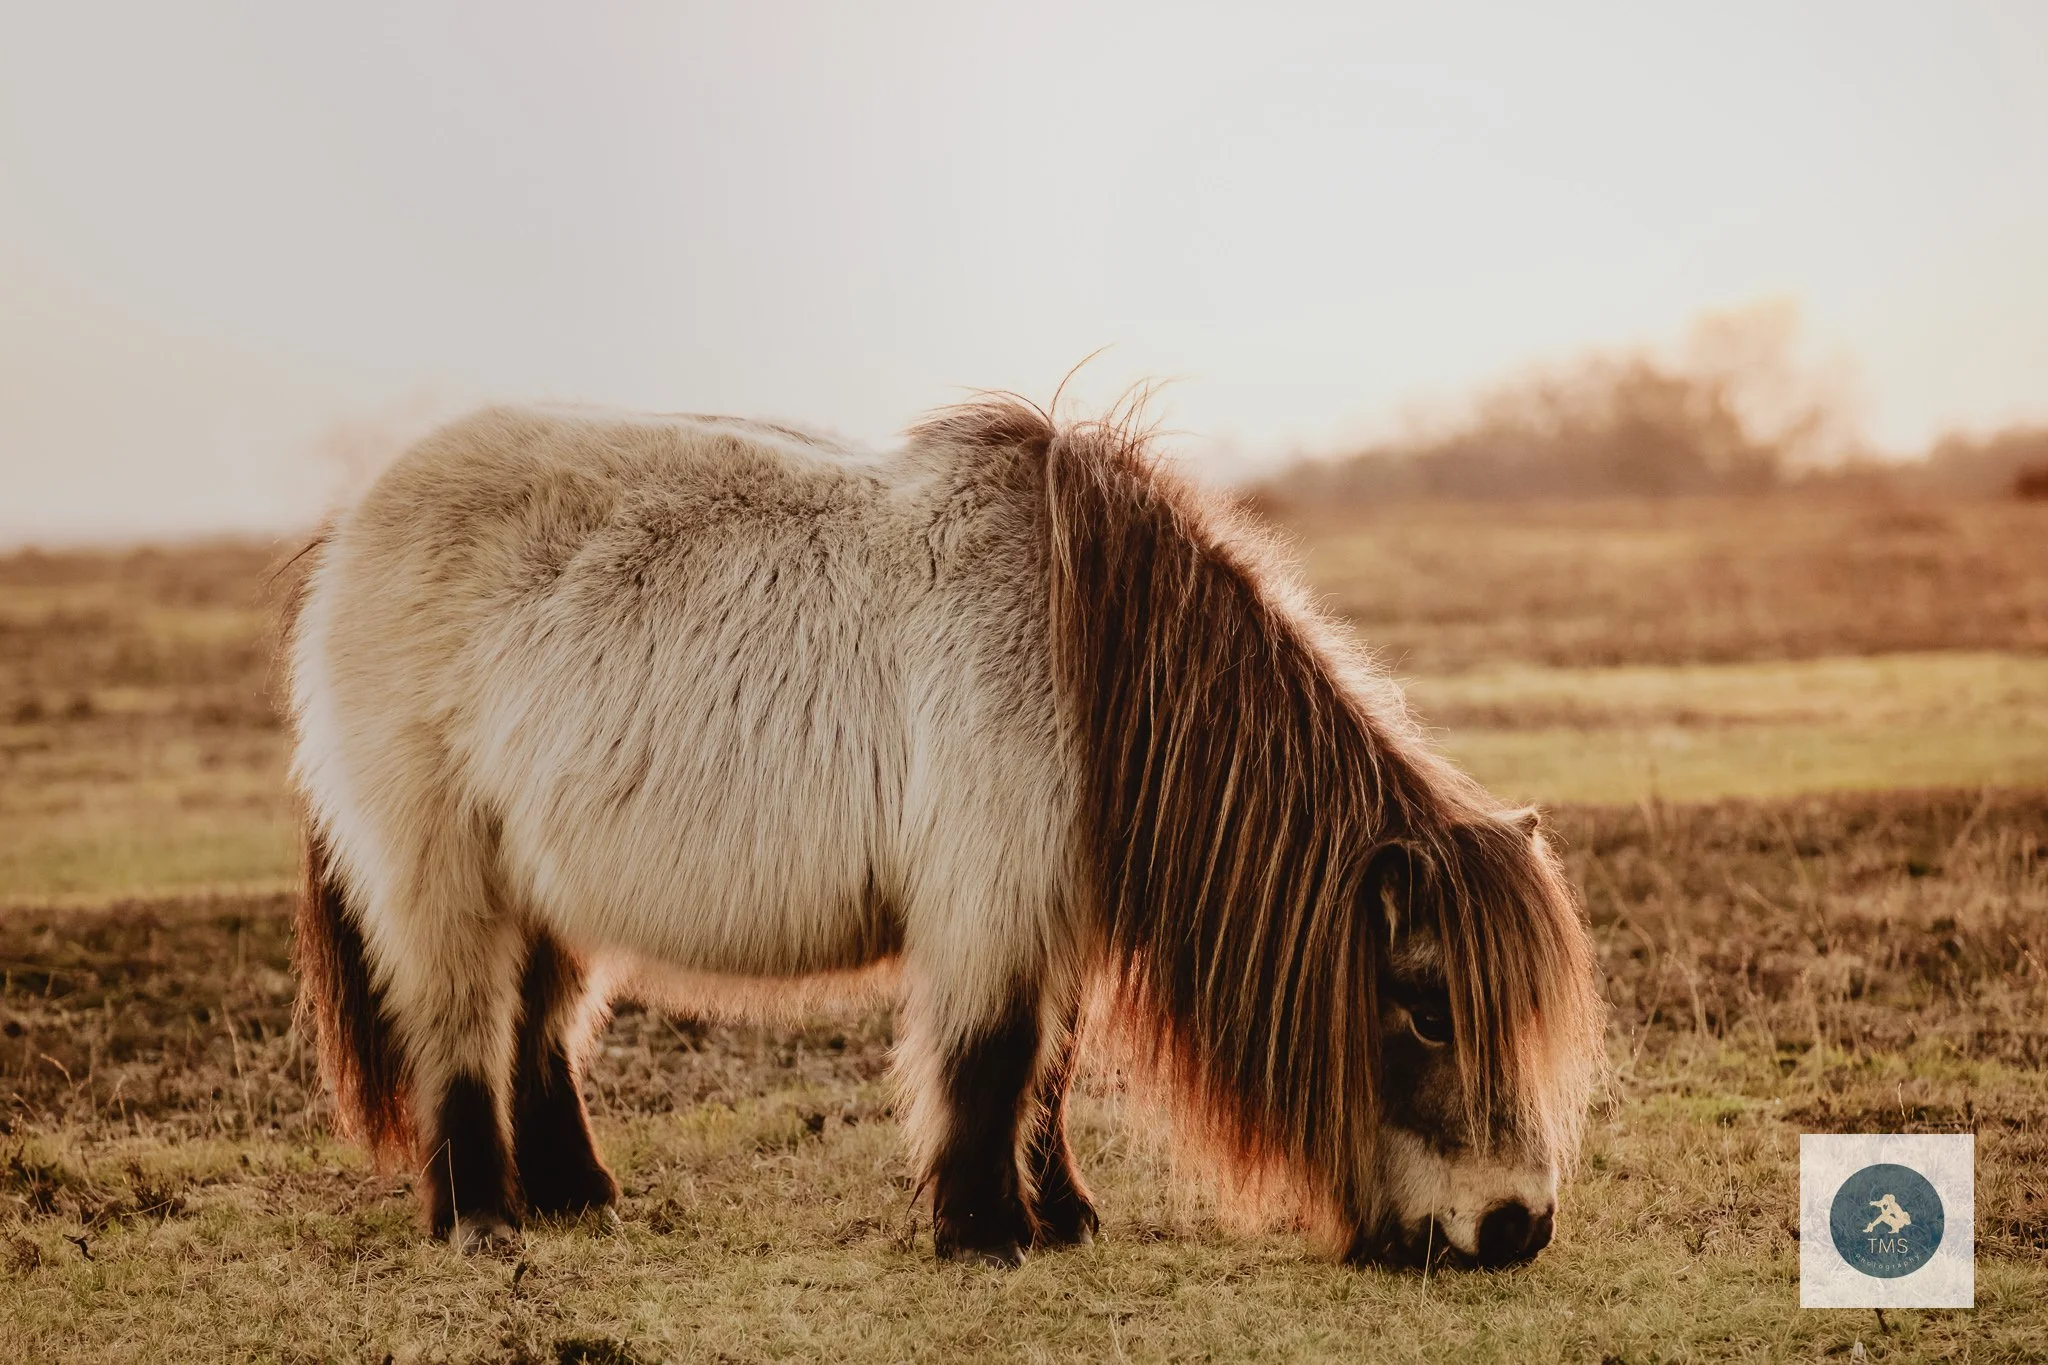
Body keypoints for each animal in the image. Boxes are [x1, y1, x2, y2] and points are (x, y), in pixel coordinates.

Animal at [287, 396, 1604, 1269]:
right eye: (1424, 1007)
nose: (1515, 1227)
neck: (1085, 653)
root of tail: (349, 534)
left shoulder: (1054, 912)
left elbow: (1049, 1069)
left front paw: (1060, 1217)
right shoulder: (990, 902)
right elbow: (990, 1058)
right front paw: (984, 1233)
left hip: (550, 885)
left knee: (540, 1033)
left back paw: (576, 1194)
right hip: (444, 879)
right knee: (460, 1031)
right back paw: (481, 1217)